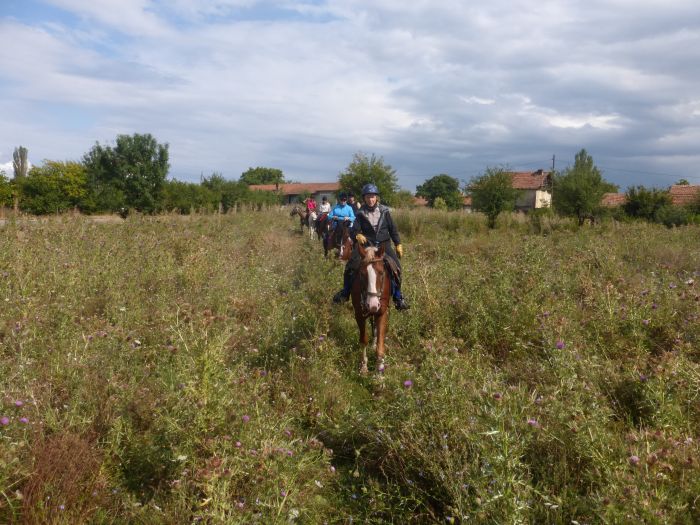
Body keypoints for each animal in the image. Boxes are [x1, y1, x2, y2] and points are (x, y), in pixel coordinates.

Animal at [352, 244, 392, 374]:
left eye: (381, 273)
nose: (373, 305)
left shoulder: (382, 313)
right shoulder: (359, 314)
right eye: (362, 274)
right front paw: (364, 366)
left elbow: (380, 344)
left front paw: (379, 372)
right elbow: (363, 339)